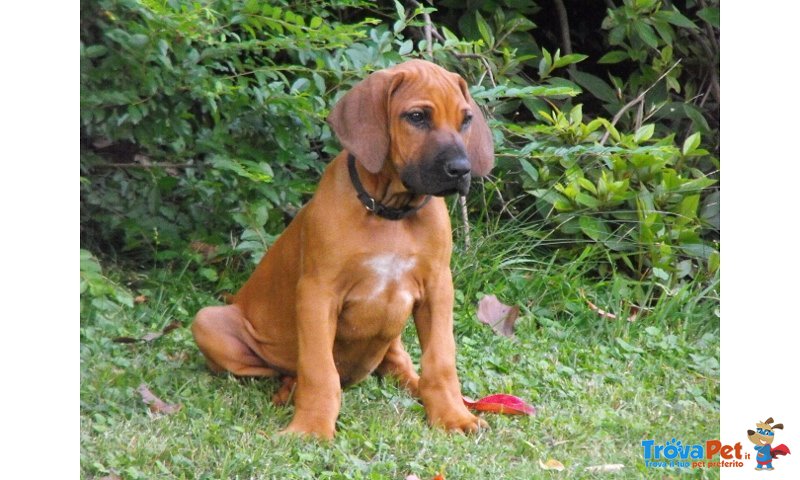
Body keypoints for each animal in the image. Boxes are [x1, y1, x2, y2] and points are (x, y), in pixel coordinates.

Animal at [192, 59, 494, 438]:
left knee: (398, 362)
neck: (389, 212)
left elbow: (441, 361)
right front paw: (311, 427)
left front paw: (453, 415)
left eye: (465, 120)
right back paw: (289, 388)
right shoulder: (317, 293)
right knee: (283, 368)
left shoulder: (438, 288)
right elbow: (319, 370)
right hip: (208, 321)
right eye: (417, 117)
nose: (461, 170)